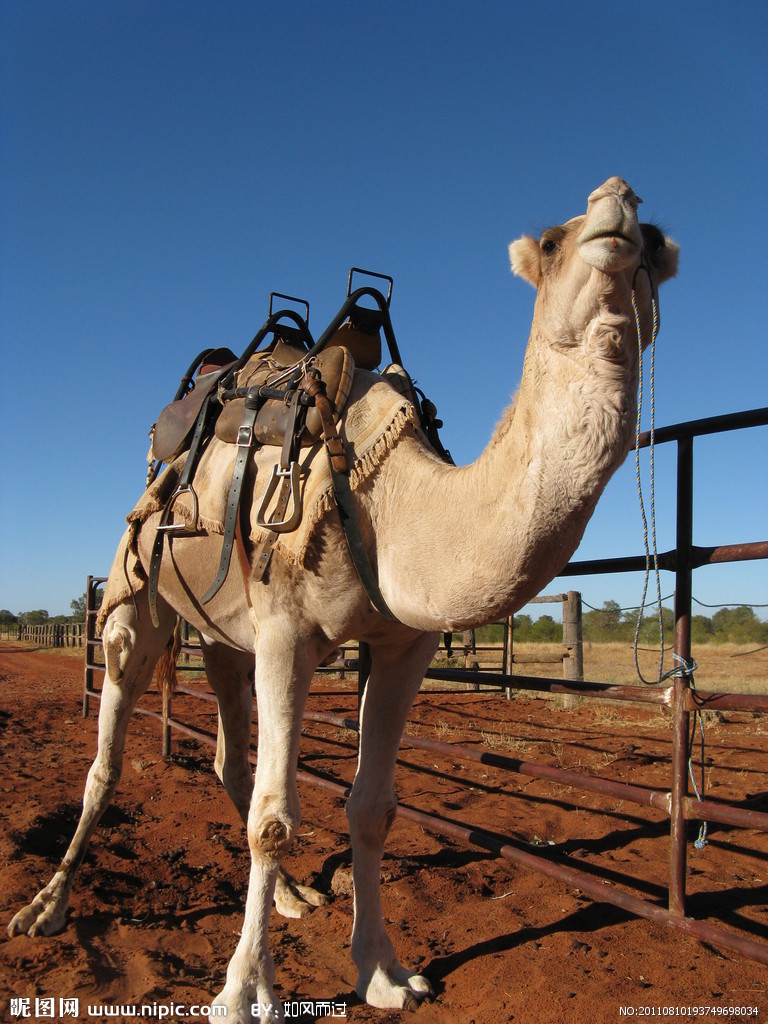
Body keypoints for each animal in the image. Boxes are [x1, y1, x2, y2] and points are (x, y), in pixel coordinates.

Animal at [9, 178, 678, 1022]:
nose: (617, 204)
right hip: (137, 598)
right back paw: (47, 905)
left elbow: (372, 807)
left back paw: (294, 896)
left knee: (228, 757)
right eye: (555, 240)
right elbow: (273, 820)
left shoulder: (404, 645)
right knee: (108, 756)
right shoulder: (288, 634)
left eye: (654, 241)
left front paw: (384, 971)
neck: (391, 504)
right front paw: (243, 992)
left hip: (224, 639)